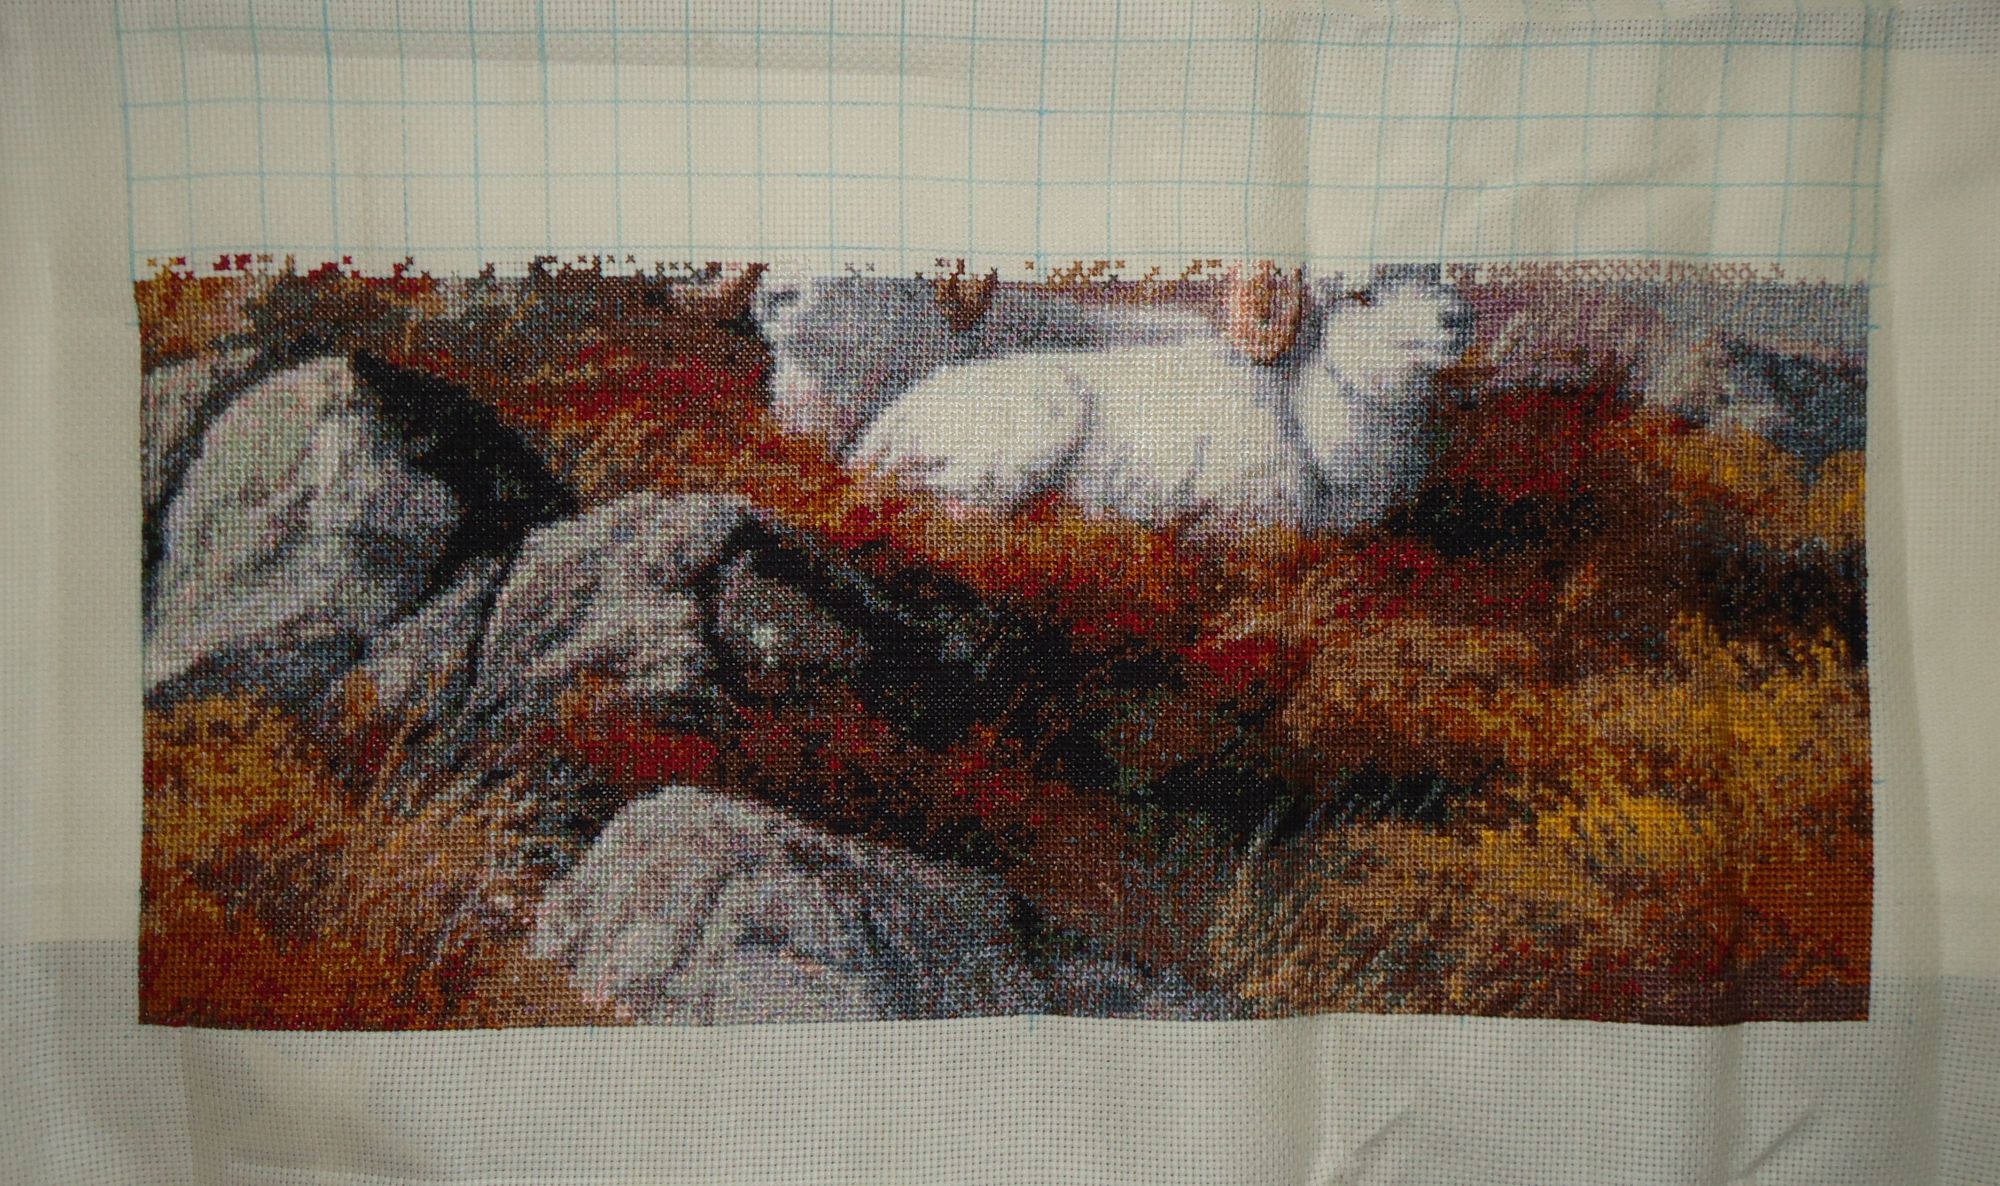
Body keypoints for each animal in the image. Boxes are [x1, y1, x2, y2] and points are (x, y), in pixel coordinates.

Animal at [847, 263, 1471, 533]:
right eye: (1362, 296)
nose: (1457, 320)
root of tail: (886, 427)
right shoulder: (1255, 515)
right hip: (1037, 428)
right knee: (955, 502)